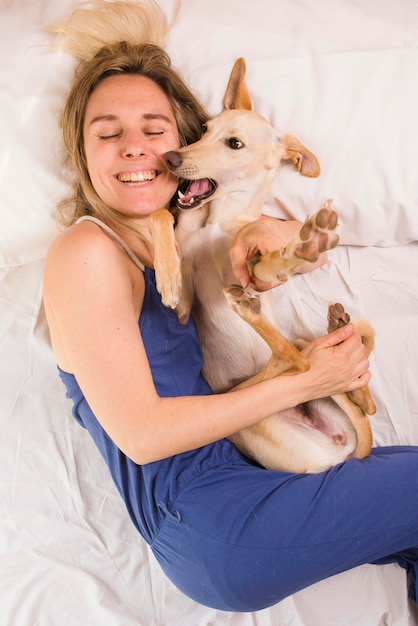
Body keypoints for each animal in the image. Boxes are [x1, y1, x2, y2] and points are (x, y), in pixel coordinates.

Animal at [151, 58, 376, 470]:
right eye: (204, 130)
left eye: (234, 143)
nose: (170, 158)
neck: (214, 219)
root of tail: (336, 450)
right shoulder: (185, 310)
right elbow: (159, 215)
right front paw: (168, 277)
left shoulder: (244, 267)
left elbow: (257, 251)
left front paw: (291, 250)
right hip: (240, 403)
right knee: (306, 368)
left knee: (305, 367)